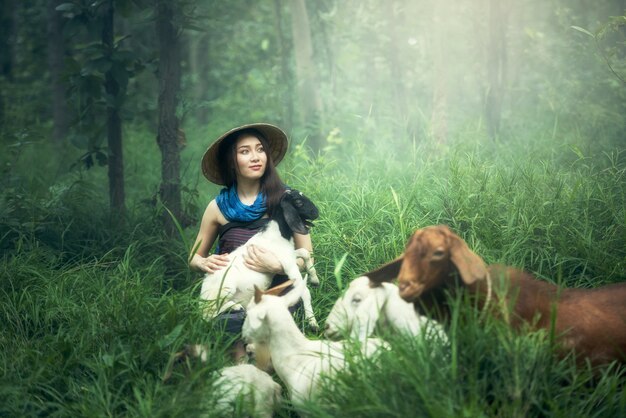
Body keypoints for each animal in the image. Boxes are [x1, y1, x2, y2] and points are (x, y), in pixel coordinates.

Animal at [199, 189, 316, 330]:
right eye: (298, 202)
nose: (317, 212)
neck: (279, 233)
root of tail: (201, 297)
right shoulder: (288, 264)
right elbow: (305, 291)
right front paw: (312, 321)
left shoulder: (289, 256)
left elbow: (305, 252)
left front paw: (315, 279)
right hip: (225, 288)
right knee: (208, 314)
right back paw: (235, 307)